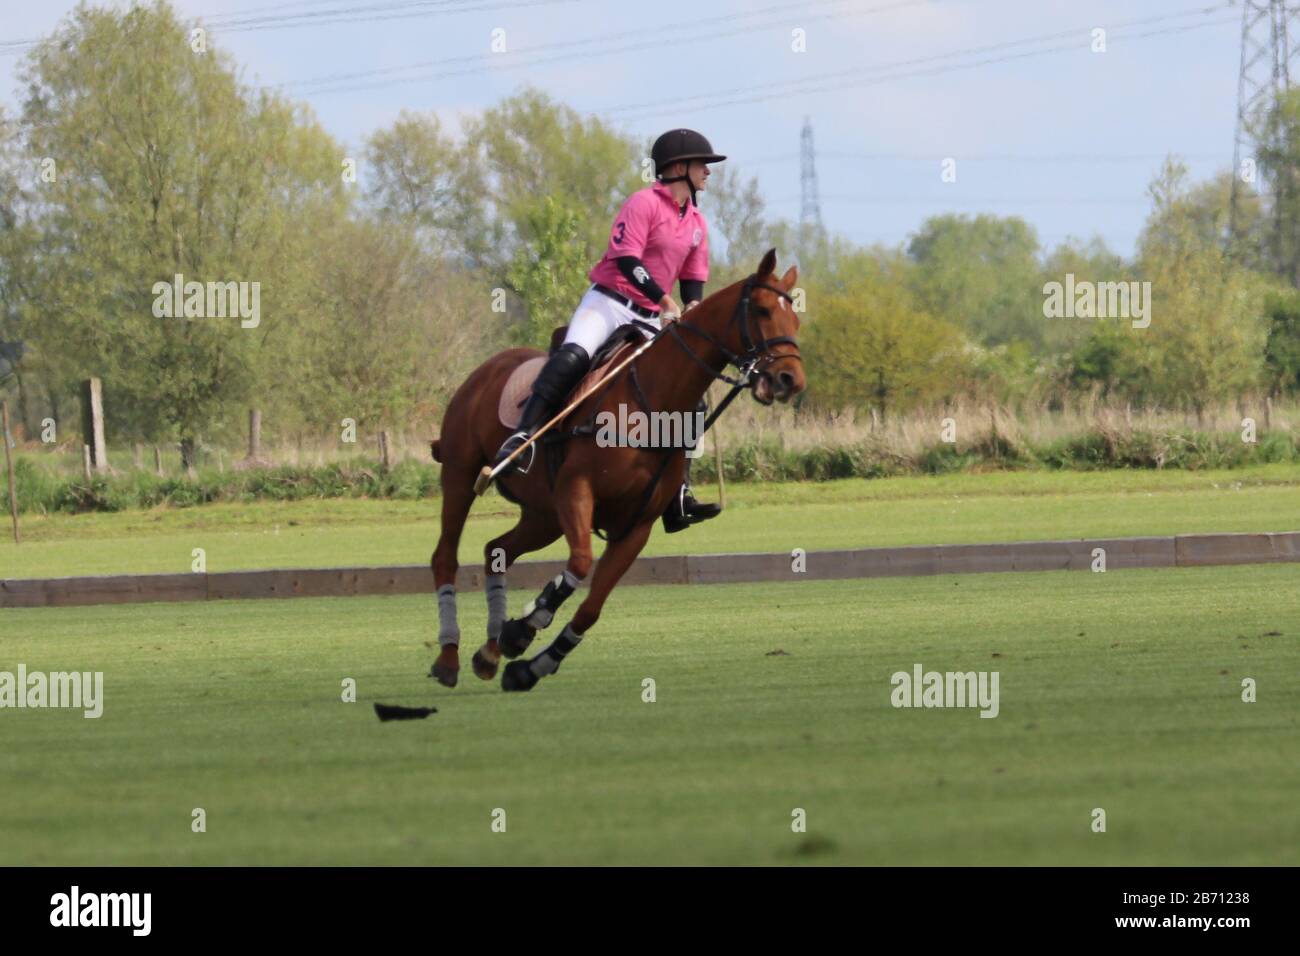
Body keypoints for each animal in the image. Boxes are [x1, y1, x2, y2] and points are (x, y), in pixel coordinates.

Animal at [426, 251, 800, 691]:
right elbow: (579, 565)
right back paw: (448, 657)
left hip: (543, 514)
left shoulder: (634, 528)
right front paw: (525, 625)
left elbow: (590, 608)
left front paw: (527, 664)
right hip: (461, 475)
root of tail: (486, 368)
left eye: (795, 319)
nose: (790, 379)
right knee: (445, 556)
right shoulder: (577, 490)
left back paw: (489, 651)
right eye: (762, 310)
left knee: (496, 550)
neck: (652, 400)